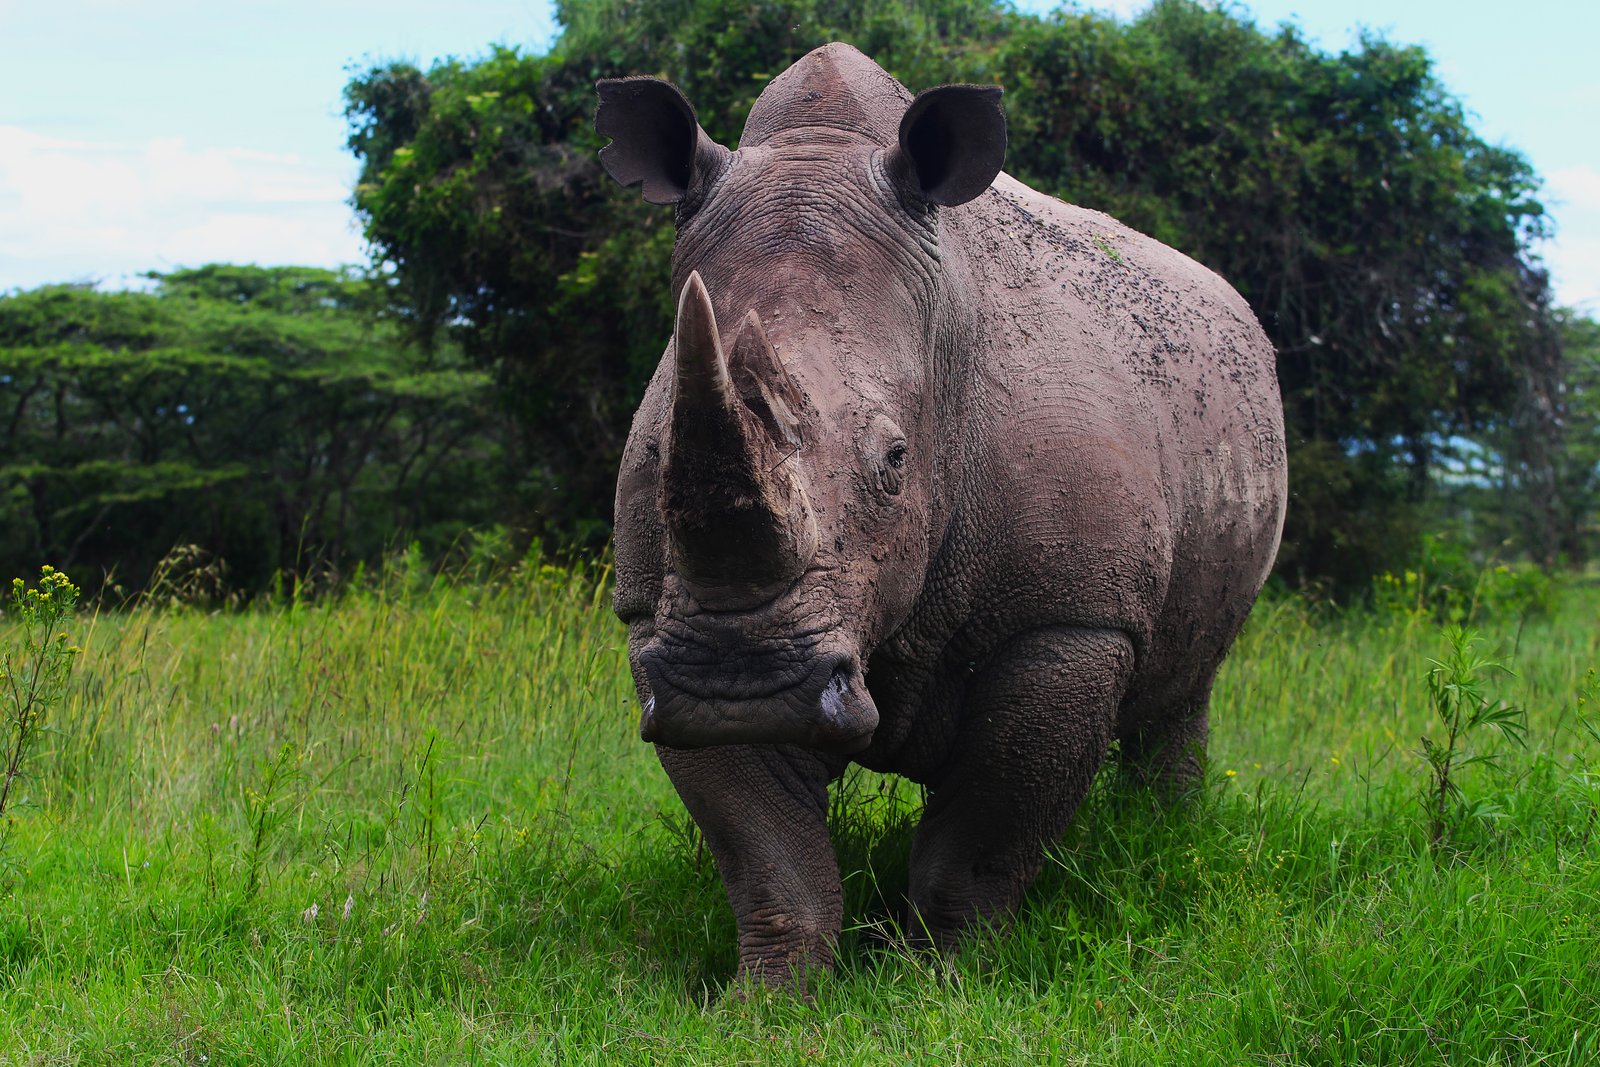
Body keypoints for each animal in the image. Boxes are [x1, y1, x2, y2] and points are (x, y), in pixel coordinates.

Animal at [598, 43, 1286, 991]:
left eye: (895, 462)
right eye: (661, 452)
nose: (742, 684)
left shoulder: (1070, 614)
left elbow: (986, 830)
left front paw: (948, 984)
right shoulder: (655, 623)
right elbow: (767, 852)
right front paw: (770, 996)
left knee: (1185, 688)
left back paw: (1167, 839)